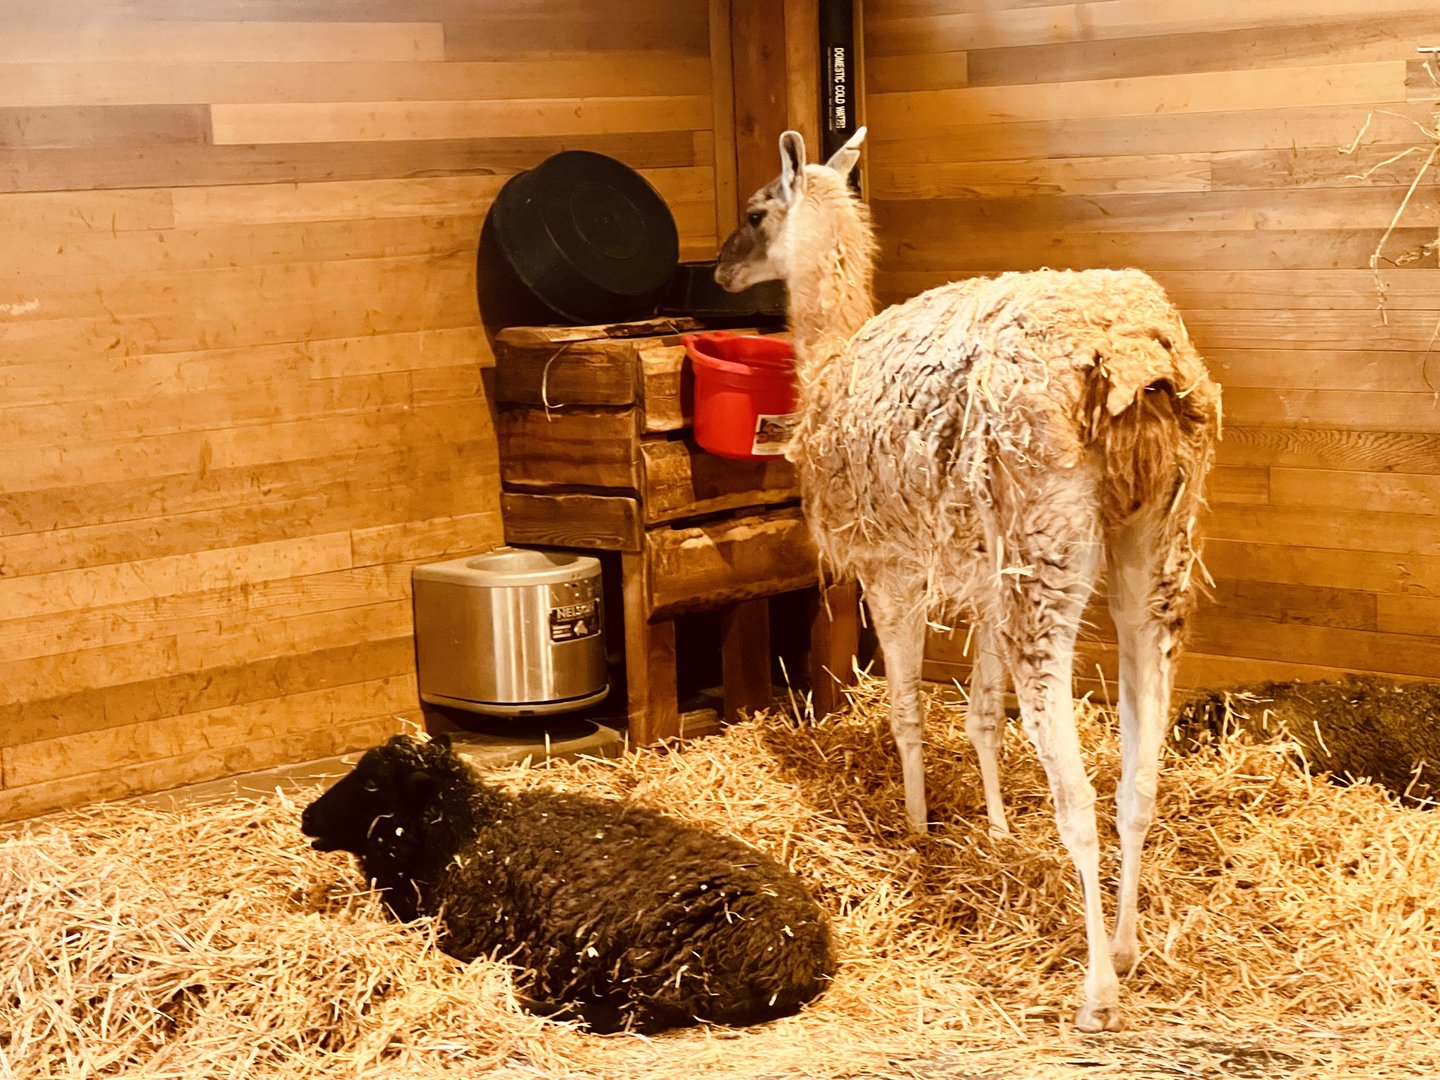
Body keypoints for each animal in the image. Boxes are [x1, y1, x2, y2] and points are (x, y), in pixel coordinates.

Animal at [299, 734, 833, 1034]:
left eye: (373, 784)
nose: (307, 817)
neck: (467, 833)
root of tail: (812, 957)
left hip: (672, 964)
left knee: (637, 1016)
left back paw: (535, 1005)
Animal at [714, 128, 1222, 1031]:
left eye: (756, 211)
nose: (718, 270)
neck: (829, 360)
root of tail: (1129, 360)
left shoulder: (890, 565)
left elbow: (908, 711)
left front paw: (919, 827)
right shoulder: (983, 577)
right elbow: (981, 715)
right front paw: (992, 830)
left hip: (1047, 552)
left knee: (1077, 791)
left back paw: (1096, 989)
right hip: (1155, 550)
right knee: (1138, 776)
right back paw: (1129, 948)